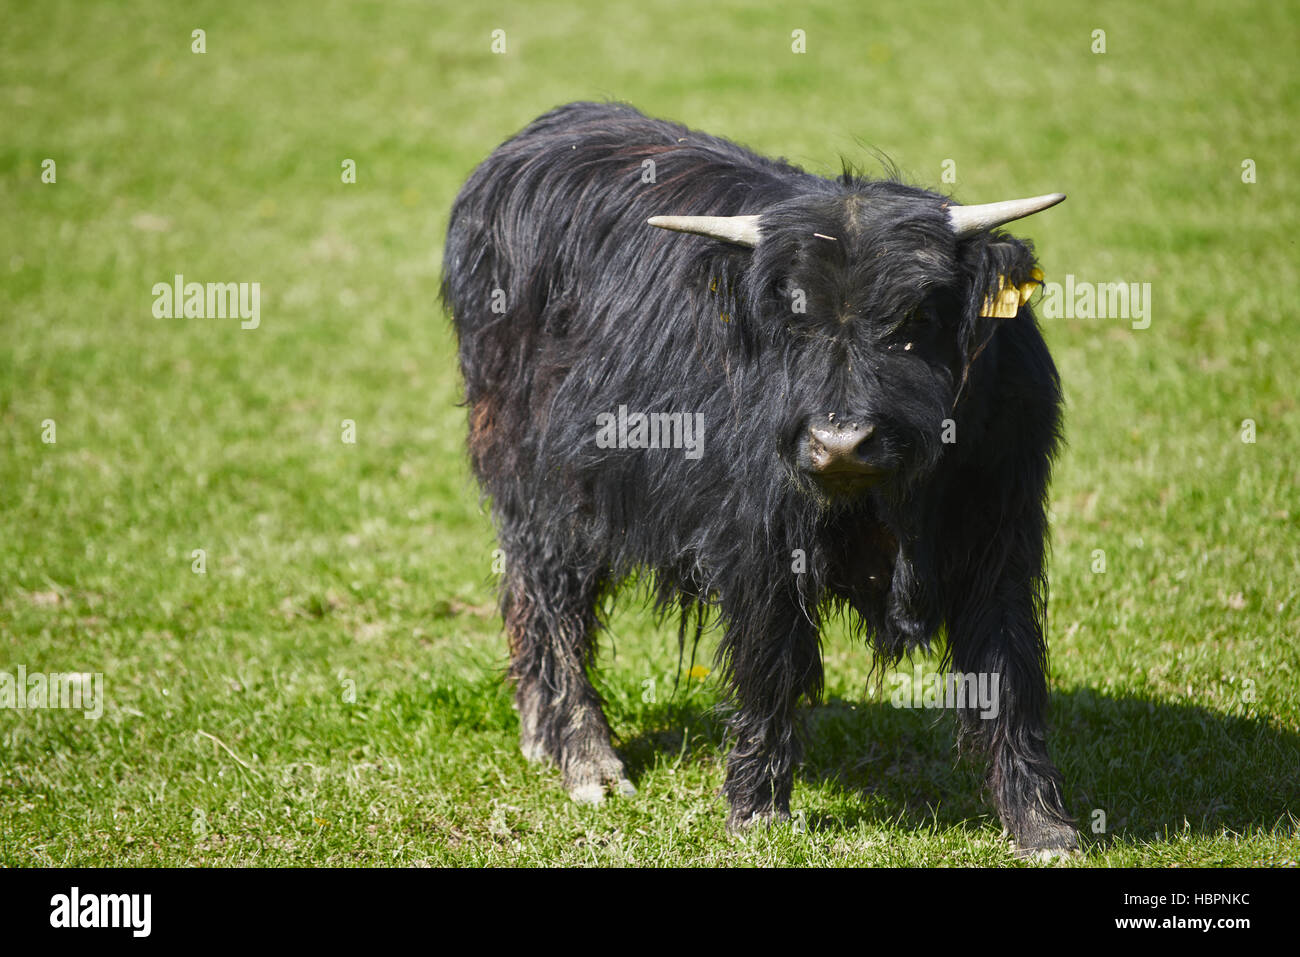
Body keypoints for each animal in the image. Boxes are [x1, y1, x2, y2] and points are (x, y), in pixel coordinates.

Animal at [441, 100, 1077, 857]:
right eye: (793, 317)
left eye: (915, 316)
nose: (839, 441)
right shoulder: (761, 540)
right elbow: (772, 662)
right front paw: (757, 808)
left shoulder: (999, 532)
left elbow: (1008, 668)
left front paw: (1041, 822)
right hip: (543, 486)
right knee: (551, 601)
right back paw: (588, 759)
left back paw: (541, 736)